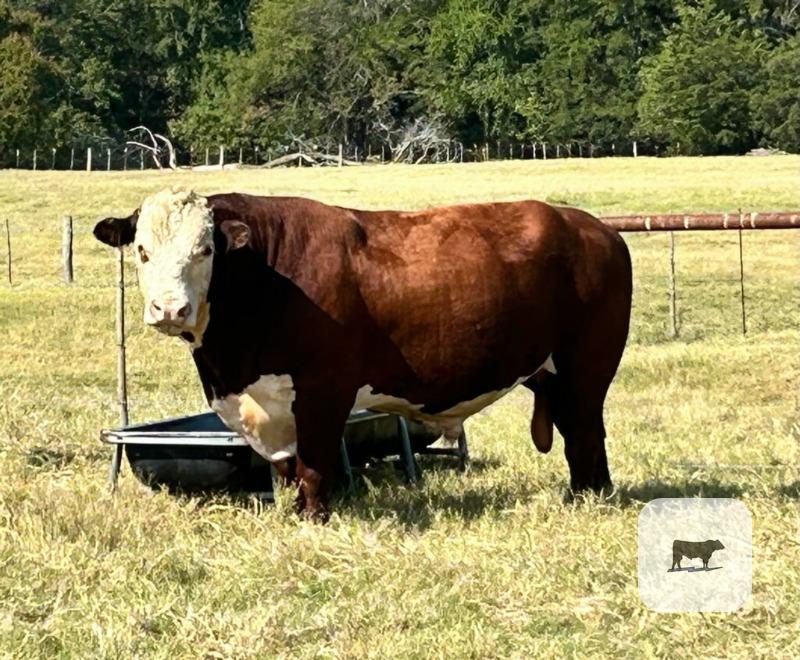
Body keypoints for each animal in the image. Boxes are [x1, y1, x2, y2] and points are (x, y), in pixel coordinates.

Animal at [94, 188, 632, 521]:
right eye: (141, 250)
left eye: (205, 250)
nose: (170, 308)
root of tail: (592, 226)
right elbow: (288, 469)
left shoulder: (324, 389)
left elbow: (314, 463)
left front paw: (315, 519)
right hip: (553, 374)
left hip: (587, 369)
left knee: (586, 435)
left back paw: (590, 497)